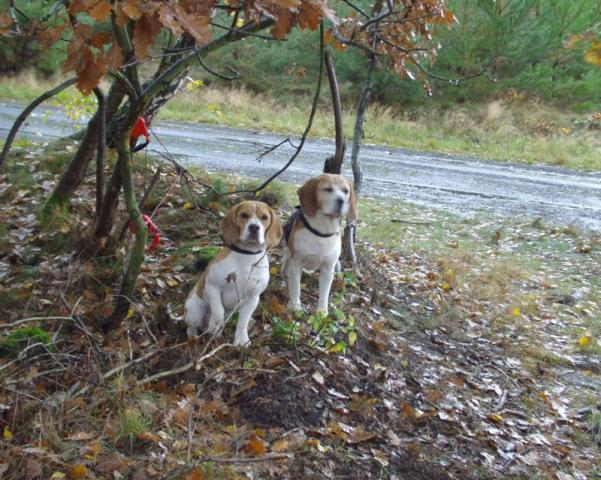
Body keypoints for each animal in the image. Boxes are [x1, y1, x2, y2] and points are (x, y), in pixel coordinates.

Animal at [184, 201, 282, 346]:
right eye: (244, 215)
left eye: (264, 217)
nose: (254, 227)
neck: (246, 256)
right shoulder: (212, 287)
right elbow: (218, 311)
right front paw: (215, 326)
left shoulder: (253, 298)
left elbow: (243, 321)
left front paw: (241, 340)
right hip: (194, 311)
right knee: (190, 327)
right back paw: (194, 337)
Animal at [282, 172, 356, 316]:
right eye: (328, 189)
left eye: (345, 191)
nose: (341, 200)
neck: (321, 232)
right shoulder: (296, 262)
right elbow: (295, 287)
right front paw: (295, 306)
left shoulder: (328, 268)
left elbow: (324, 293)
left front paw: (322, 312)